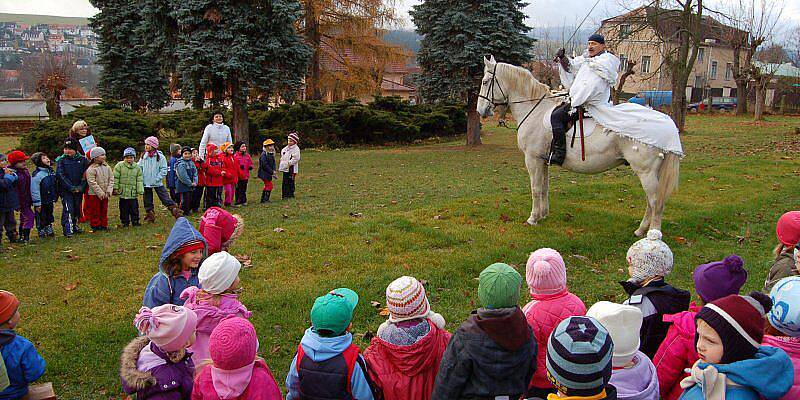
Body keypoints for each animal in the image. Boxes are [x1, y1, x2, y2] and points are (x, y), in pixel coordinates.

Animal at [478, 57, 680, 238]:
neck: (535, 110)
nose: (481, 110)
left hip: (646, 172)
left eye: (485, 81)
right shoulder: (543, 161)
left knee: (655, 201)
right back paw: (641, 230)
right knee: (651, 201)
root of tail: (667, 124)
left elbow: (535, 188)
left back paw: (652, 234)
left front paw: (533, 218)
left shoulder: (532, 159)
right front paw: (543, 215)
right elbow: (544, 187)